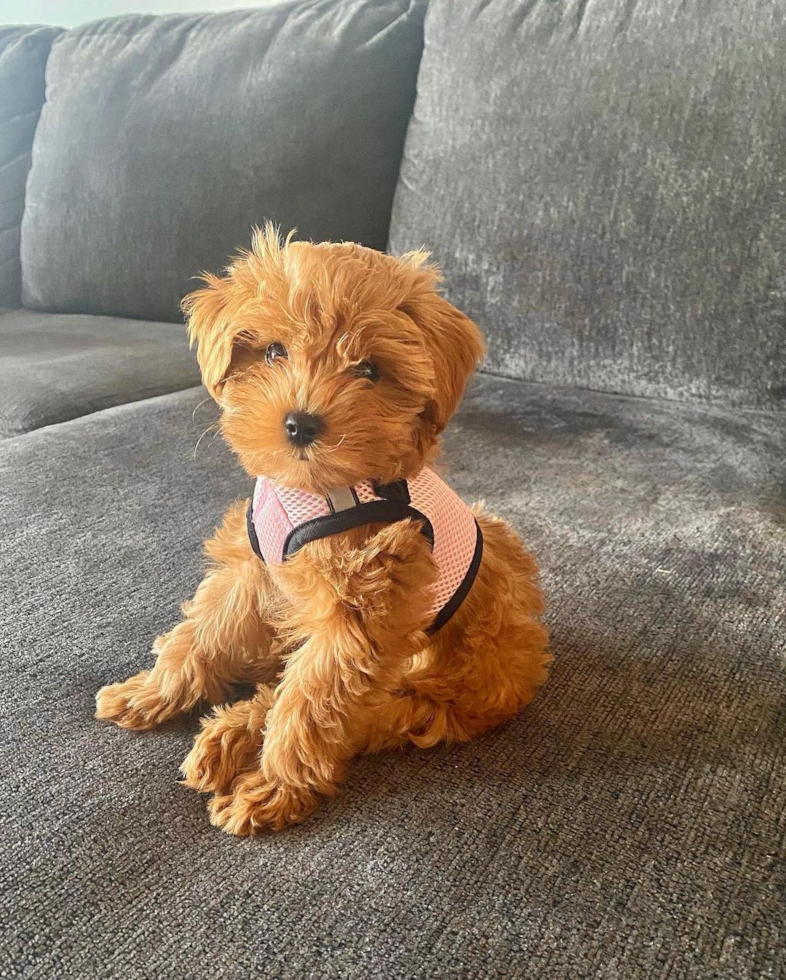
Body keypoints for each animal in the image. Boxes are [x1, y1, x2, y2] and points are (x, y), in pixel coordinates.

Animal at [95, 226, 548, 832]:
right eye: (273, 351)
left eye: (370, 371)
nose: (300, 423)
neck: (314, 490)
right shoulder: (254, 568)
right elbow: (203, 633)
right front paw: (150, 690)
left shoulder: (360, 610)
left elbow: (311, 702)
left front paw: (272, 787)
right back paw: (228, 733)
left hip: (427, 695)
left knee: (322, 705)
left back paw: (236, 736)